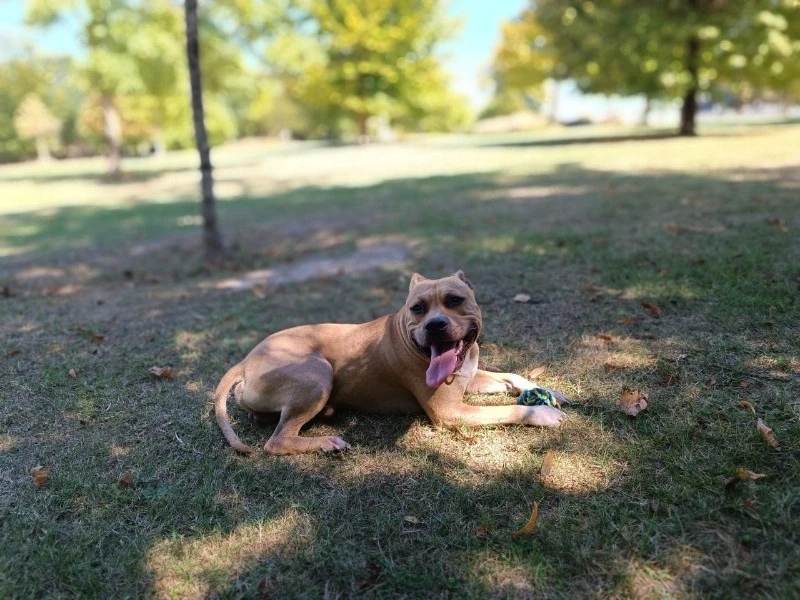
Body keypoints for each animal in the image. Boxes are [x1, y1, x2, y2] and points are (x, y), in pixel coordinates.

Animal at [214, 271, 567, 455]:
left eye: (455, 300)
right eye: (417, 308)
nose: (435, 325)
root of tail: (244, 360)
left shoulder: (469, 375)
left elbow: (511, 375)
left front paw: (547, 392)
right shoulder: (451, 411)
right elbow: (507, 409)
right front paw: (543, 413)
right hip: (317, 373)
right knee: (276, 441)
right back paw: (327, 442)